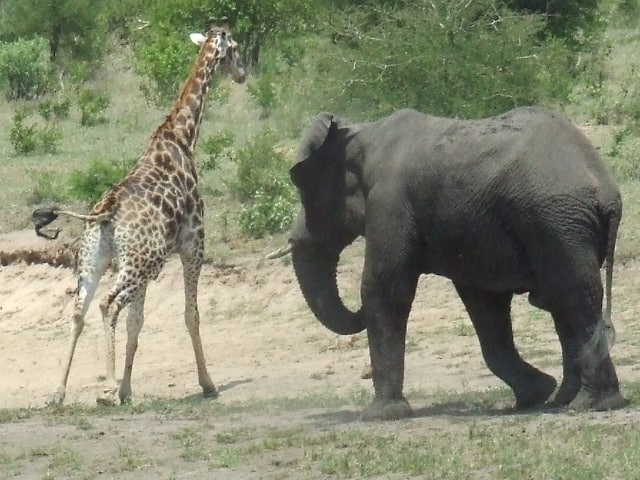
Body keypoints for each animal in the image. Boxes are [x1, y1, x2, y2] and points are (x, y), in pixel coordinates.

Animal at [32, 16, 248, 404]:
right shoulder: (193, 244)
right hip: (138, 262)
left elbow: (138, 322)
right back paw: (105, 387)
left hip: (101, 260)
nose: (242, 74)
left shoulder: (152, 265)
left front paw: (128, 390)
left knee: (79, 310)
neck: (183, 137)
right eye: (235, 48)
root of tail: (105, 213)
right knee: (108, 304)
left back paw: (59, 393)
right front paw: (207, 384)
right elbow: (191, 313)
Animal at [284, 106, 624, 420]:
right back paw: (565, 399)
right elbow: (484, 304)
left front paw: (380, 416)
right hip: (562, 225)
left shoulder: (390, 202)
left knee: (574, 297)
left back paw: (590, 404)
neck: (361, 135)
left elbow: (383, 289)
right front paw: (535, 394)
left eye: (303, 191)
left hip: (558, 223)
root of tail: (607, 193)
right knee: (562, 303)